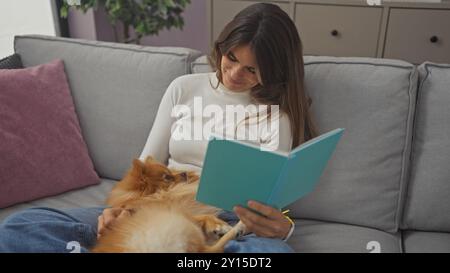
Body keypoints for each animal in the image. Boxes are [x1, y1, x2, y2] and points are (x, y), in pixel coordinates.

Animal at [92, 156, 246, 252]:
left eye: (171, 171)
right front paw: (221, 226)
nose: (184, 173)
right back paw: (238, 227)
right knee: (210, 249)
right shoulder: (177, 211)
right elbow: (204, 216)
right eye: (167, 177)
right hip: (181, 224)